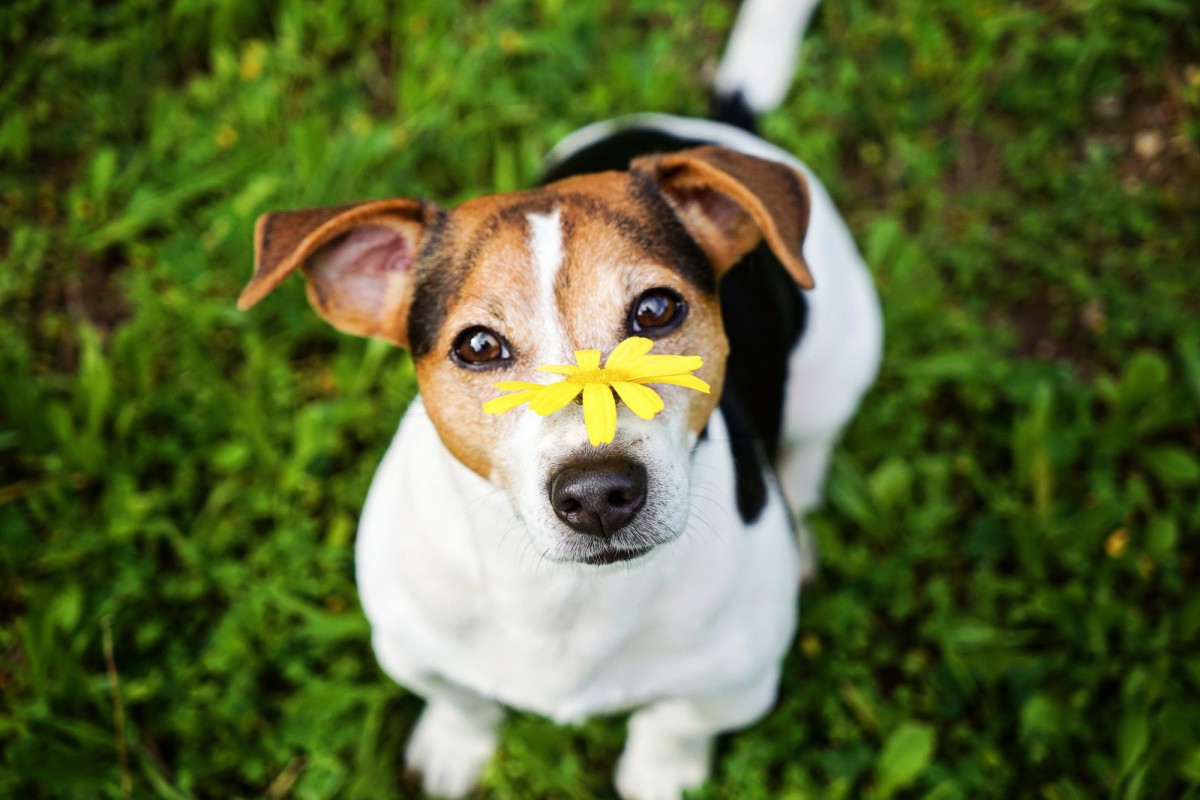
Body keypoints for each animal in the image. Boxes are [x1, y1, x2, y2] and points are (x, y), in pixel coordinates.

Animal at [234, 3, 883, 796]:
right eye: (478, 346)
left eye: (657, 310)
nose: (599, 492)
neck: (565, 597)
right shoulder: (410, 647)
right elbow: (462, 698)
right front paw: (454, 747)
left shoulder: (734, 684)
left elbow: (673, 727)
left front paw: (661, 776)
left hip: (842, 360)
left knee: (810, 452)